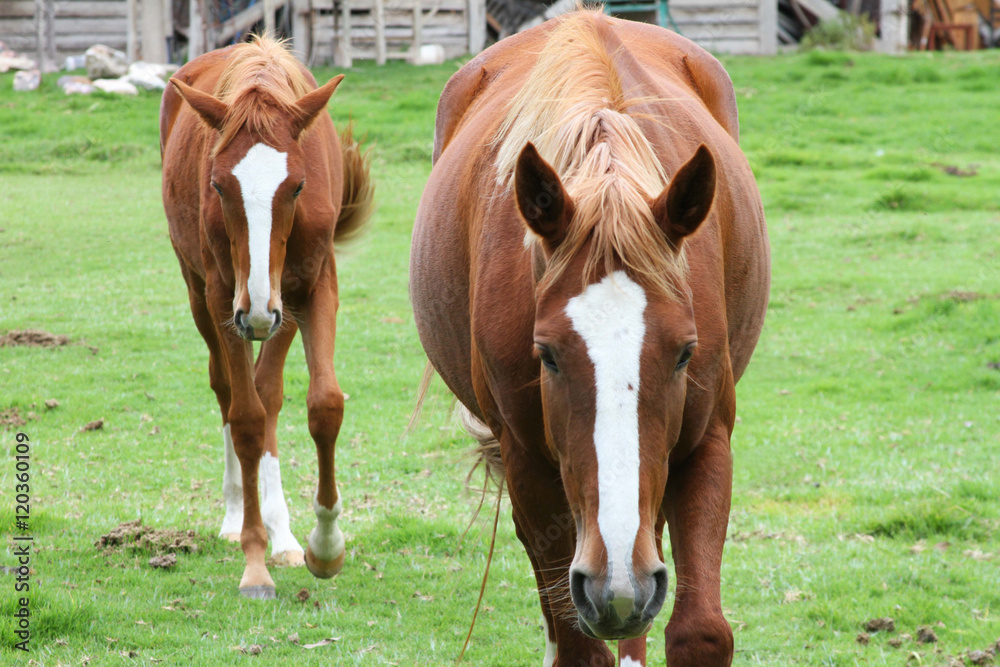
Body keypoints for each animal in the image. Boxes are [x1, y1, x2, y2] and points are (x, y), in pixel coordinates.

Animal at [160, 36, 373, 599]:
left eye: (297, 186)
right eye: (217, 185)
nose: (256, 310)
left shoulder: (309, 289)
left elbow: (322, 405)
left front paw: (325, 547)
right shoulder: (226, 299)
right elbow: (247, 419)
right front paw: (255, 562)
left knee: (267, 389)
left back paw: (285, 535)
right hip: (208, 298)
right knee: (229, 391)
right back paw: (239, 517)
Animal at [411, 10, 769, 666]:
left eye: (685, 353)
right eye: (547, 355)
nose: (620, 587)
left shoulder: (705, 441)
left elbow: (700, 630)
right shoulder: (531, 470)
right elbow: (579, 642)